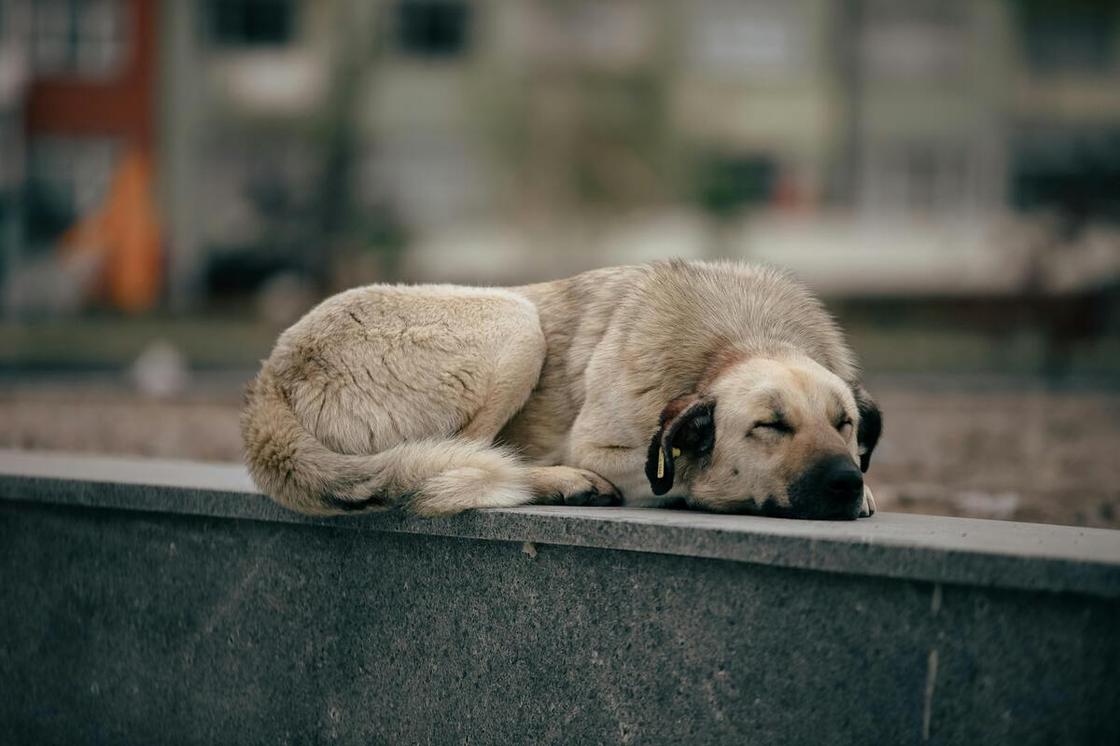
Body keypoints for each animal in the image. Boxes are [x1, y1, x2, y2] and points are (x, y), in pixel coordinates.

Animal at [243, 258, 882, 519]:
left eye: (844, 424)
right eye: (769, 426)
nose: (845, 484)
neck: (741, 338)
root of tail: (267, 380)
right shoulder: (606, 447)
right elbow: (674, 477)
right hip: (515, 322)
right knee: (459, 464)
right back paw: (563, 484)